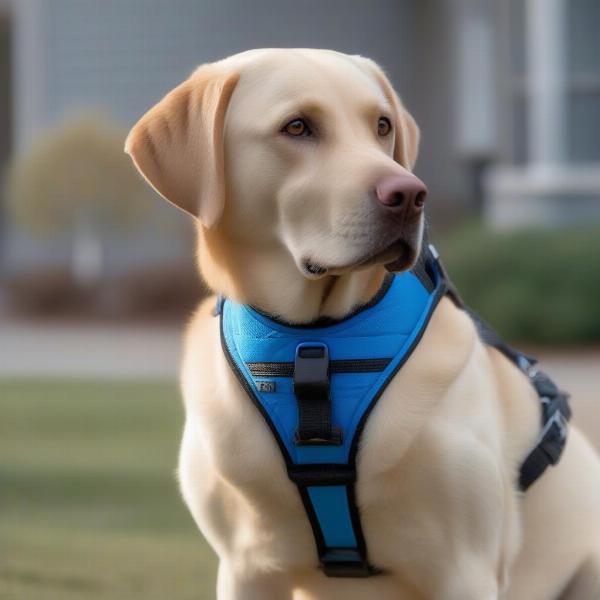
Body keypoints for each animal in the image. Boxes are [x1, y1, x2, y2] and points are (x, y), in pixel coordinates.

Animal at [125, 48, 600, 600]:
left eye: (382, 125)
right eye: (297, 126)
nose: (411, 195)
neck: (317, 341)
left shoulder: (466, 568)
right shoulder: (245, 566)